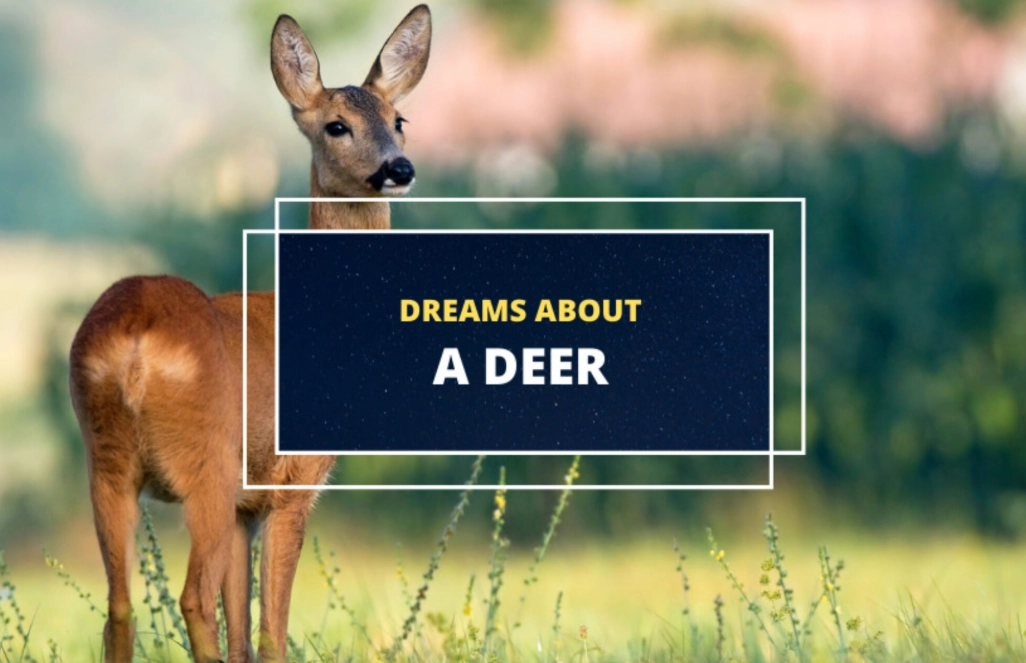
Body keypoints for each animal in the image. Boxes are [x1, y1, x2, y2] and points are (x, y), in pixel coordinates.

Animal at [67, 6, 431, 662]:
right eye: (336, 125)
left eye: (399, 120)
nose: (399, 168)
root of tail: (134, 342)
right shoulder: (291, 484)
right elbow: (270, 629)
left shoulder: (245, 510)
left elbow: (243, 630)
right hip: (205, 465)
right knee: (190, 598)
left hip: (106, 464)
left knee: (119, 607)